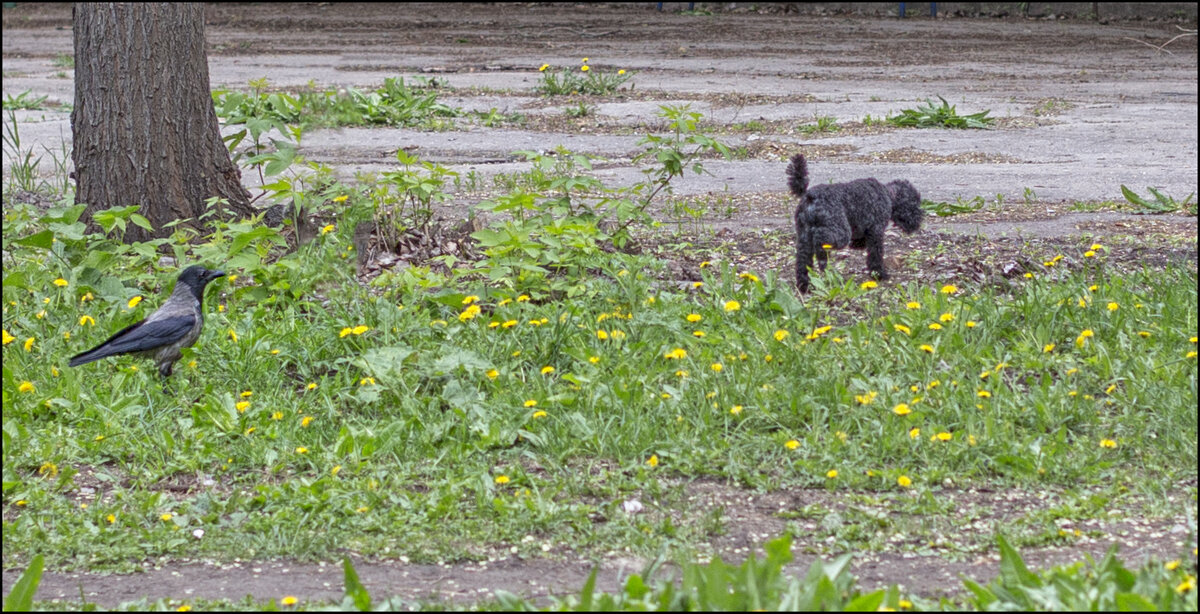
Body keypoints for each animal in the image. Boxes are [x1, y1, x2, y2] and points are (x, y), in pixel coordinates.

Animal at [787, 153, 926, 292]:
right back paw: (822, 259)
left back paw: (804, 285)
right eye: (914, 204)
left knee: (802, 262)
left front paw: (858, 245)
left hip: (804, 237)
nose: (919, 220)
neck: (888, 195)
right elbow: (876, 254)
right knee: (821, 240)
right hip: (839, 232)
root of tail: (809, 195)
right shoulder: (876, 231)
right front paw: (879, 274)